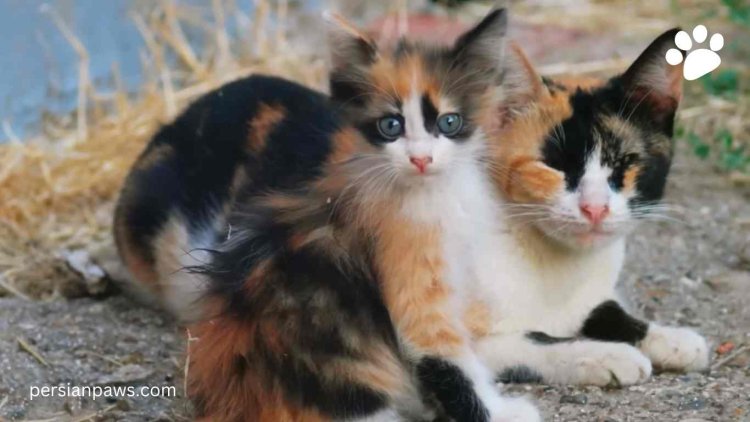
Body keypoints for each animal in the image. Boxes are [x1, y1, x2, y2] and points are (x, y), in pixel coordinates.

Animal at [114, 7, 540, 422]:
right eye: (391, 125)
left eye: (449, 122)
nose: (421, 159)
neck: (430, 193)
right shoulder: (412, 274)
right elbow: (448, 360)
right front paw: (502, 413)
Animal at [470, 29, 712, 388]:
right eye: (555, 164)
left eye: (626, 162)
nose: (594, 208)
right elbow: (533, 339)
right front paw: (607, 355)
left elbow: (606, 309)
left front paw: (669, 338)